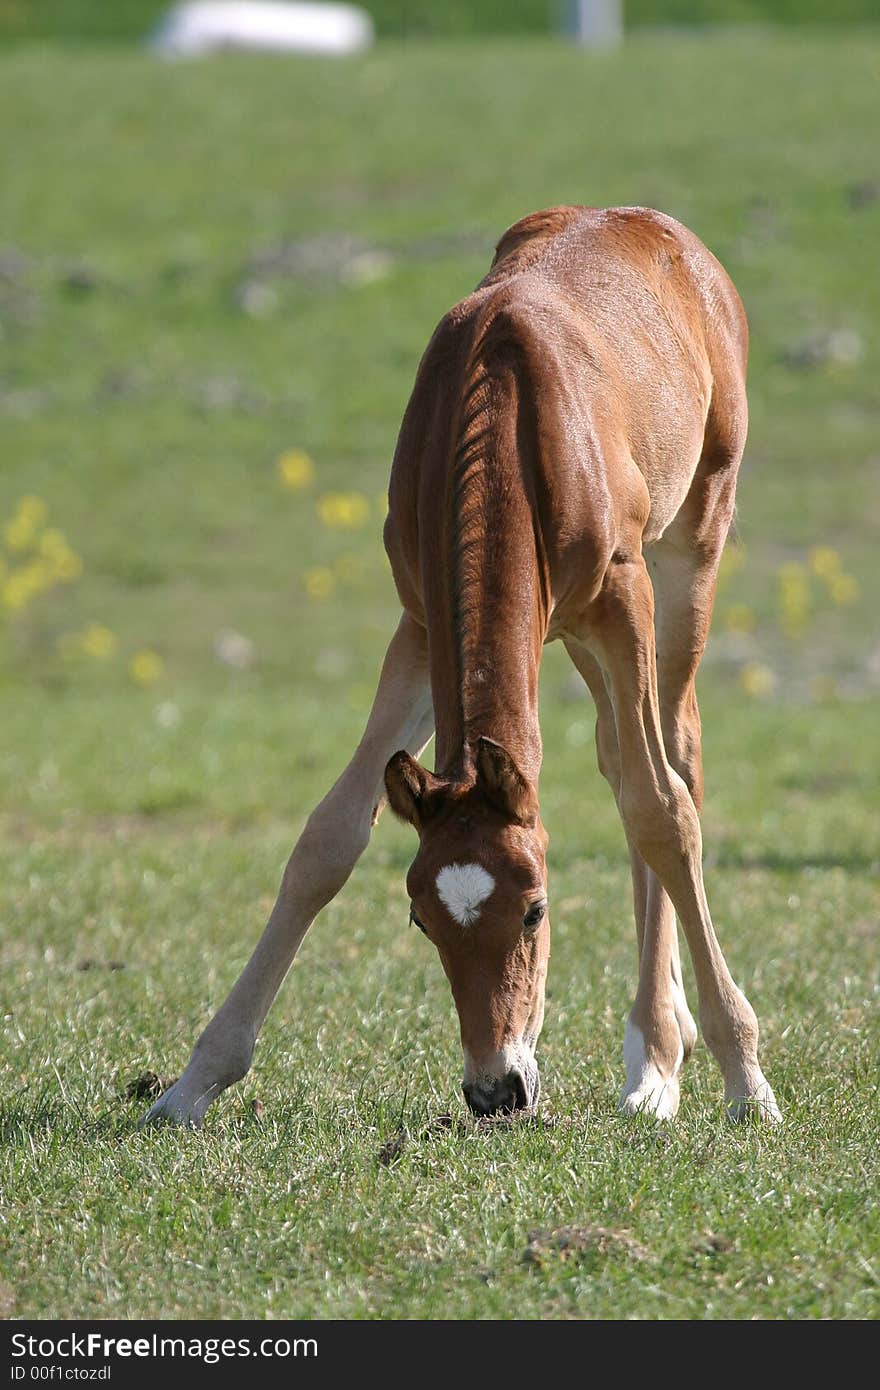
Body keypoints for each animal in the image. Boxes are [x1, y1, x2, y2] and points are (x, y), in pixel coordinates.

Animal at [145, 201, 784, 1123]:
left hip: (688, 555)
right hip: (570, 635)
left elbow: (661, 811)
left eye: (536, 910)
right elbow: (328, 837)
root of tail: (664, 231)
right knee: (616, 754)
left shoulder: (620, 599)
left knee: (673, 759)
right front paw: (194, 1081)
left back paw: (659, 1055)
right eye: (423, 921)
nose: (496, 1089)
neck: (504, 410)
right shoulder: (418, 621)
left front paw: (746, 1083)